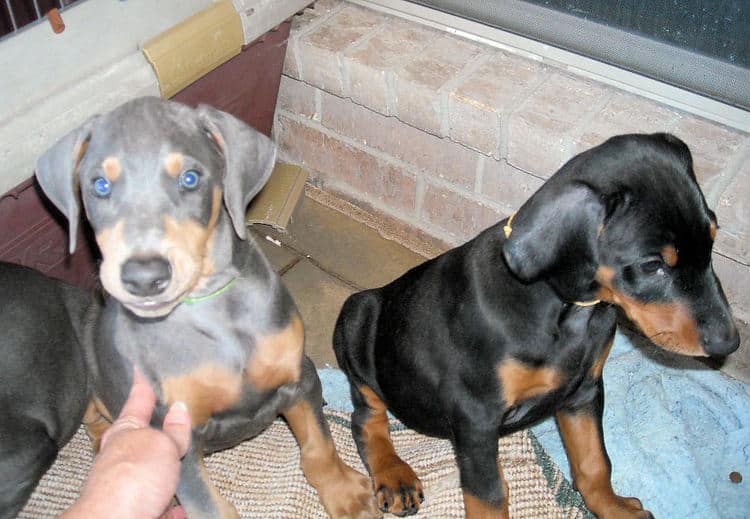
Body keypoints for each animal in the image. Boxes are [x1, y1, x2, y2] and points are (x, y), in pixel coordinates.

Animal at [35, 98, 376, 519]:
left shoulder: (300, 376)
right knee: (96, 421)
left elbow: (318, 445)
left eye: (190, 179)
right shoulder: (175, 435)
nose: (144, 277)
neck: (213, 312)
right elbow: (210, 506)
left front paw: (345, 492)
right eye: (100, 185)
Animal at [334, 132, 740, 516]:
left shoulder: (583, 391)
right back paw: (394, 475)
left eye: (713, 238)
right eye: (652, 264)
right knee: (365, 416)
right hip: (356, 319)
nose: (730, 343)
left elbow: (595, 463)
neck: (570, 309)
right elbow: (489, 496)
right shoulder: (476, 416)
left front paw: (613, 508)